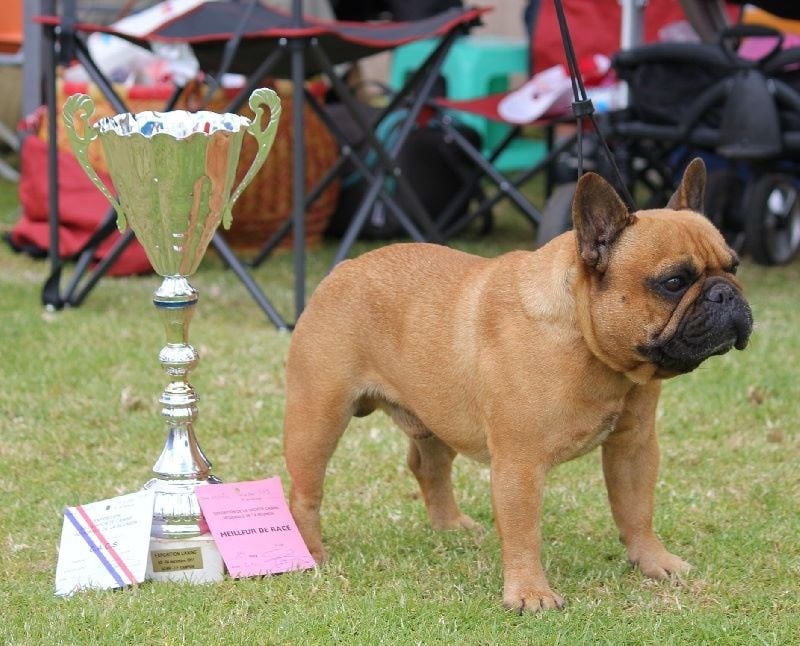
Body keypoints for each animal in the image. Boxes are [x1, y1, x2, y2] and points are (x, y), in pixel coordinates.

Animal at [282, 158, 752, 612]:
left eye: (733, 266)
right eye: (673, 282)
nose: (726, 294)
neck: (585, 343)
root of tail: (343, 268)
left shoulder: (633, 446)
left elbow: (637, 509)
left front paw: (653, 561)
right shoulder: (520, 463)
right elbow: (523, 530)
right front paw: (529, 594)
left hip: (437, 414)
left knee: (428, 465)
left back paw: (450, 527)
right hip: (319, 415)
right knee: (305, 490)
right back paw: (310, 553)